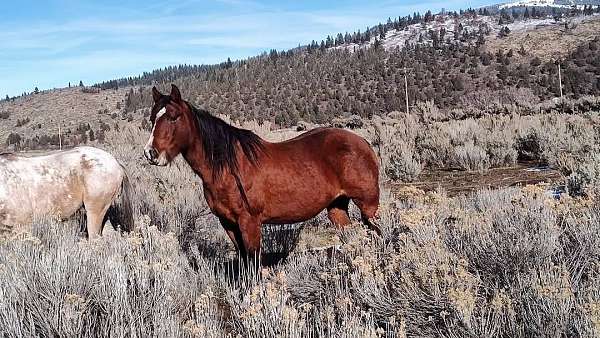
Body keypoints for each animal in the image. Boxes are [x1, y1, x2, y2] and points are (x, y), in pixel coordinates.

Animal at [145, 84, 380, 258]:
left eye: (174, 117)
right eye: (152, 118)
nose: (150, 153)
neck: (228, 168)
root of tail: (363, 143)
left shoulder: (250, 222)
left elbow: (255, 263)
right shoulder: (228, 223)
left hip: (368, 206)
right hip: (337, 207)